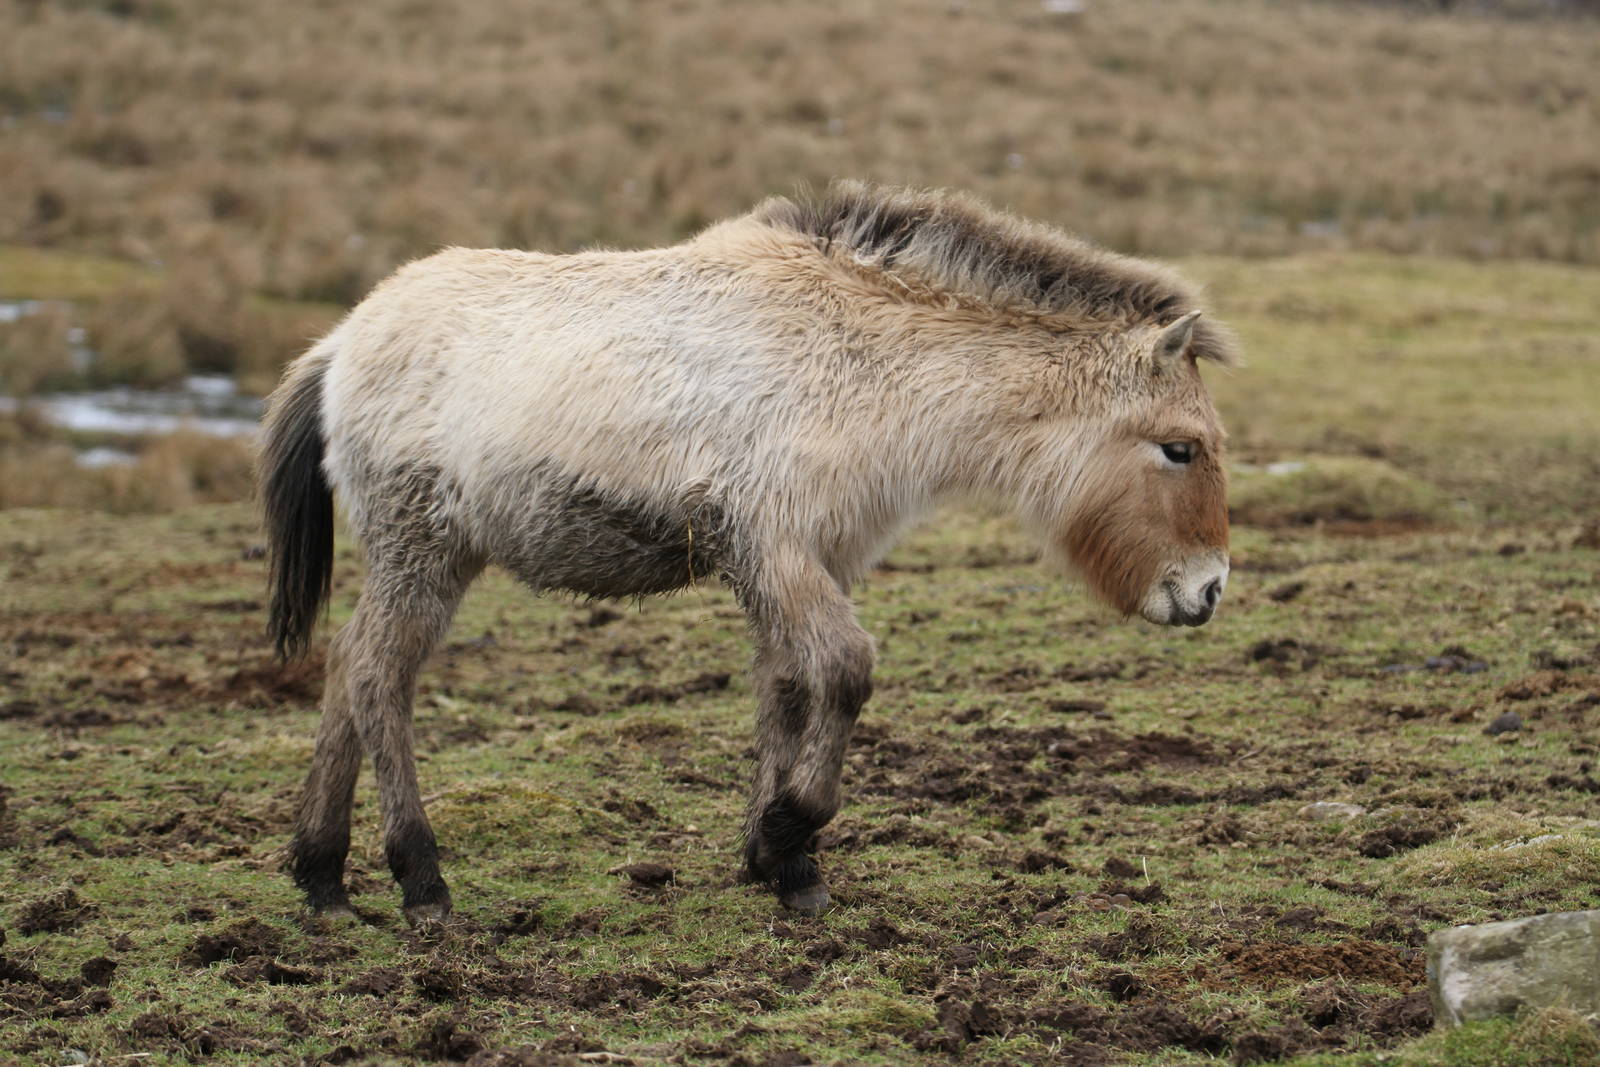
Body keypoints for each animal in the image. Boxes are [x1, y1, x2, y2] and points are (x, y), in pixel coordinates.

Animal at [259, 180, 1237, 923]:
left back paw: (323, 879)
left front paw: (781, 866)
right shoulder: (774, 546)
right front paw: (786, 834)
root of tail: (342, 341)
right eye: (1180, 447)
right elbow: (844, 669)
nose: (1208, 591)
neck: (858, 354)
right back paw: (420, 879)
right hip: (420, 554)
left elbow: (788, 687)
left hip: (426, 560)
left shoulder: (808, 558)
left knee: (348, 668)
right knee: (379, 676)